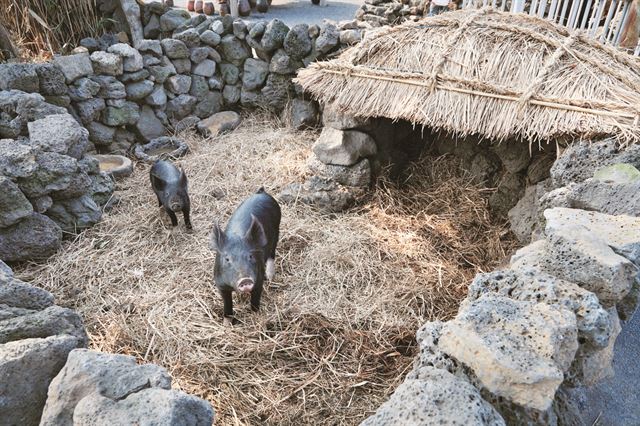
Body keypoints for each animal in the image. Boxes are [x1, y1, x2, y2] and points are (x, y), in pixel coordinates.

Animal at [210, 187, 280, 322]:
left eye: (250, 256)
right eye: (227, 259)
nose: (245, 279)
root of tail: (262, 192)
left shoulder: (258, 280)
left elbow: (255, 301)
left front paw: (256, 316)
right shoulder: (221, 285)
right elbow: (227, 305)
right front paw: (227, 323)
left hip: (277, 230)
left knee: (272, 253)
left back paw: (270, 277)